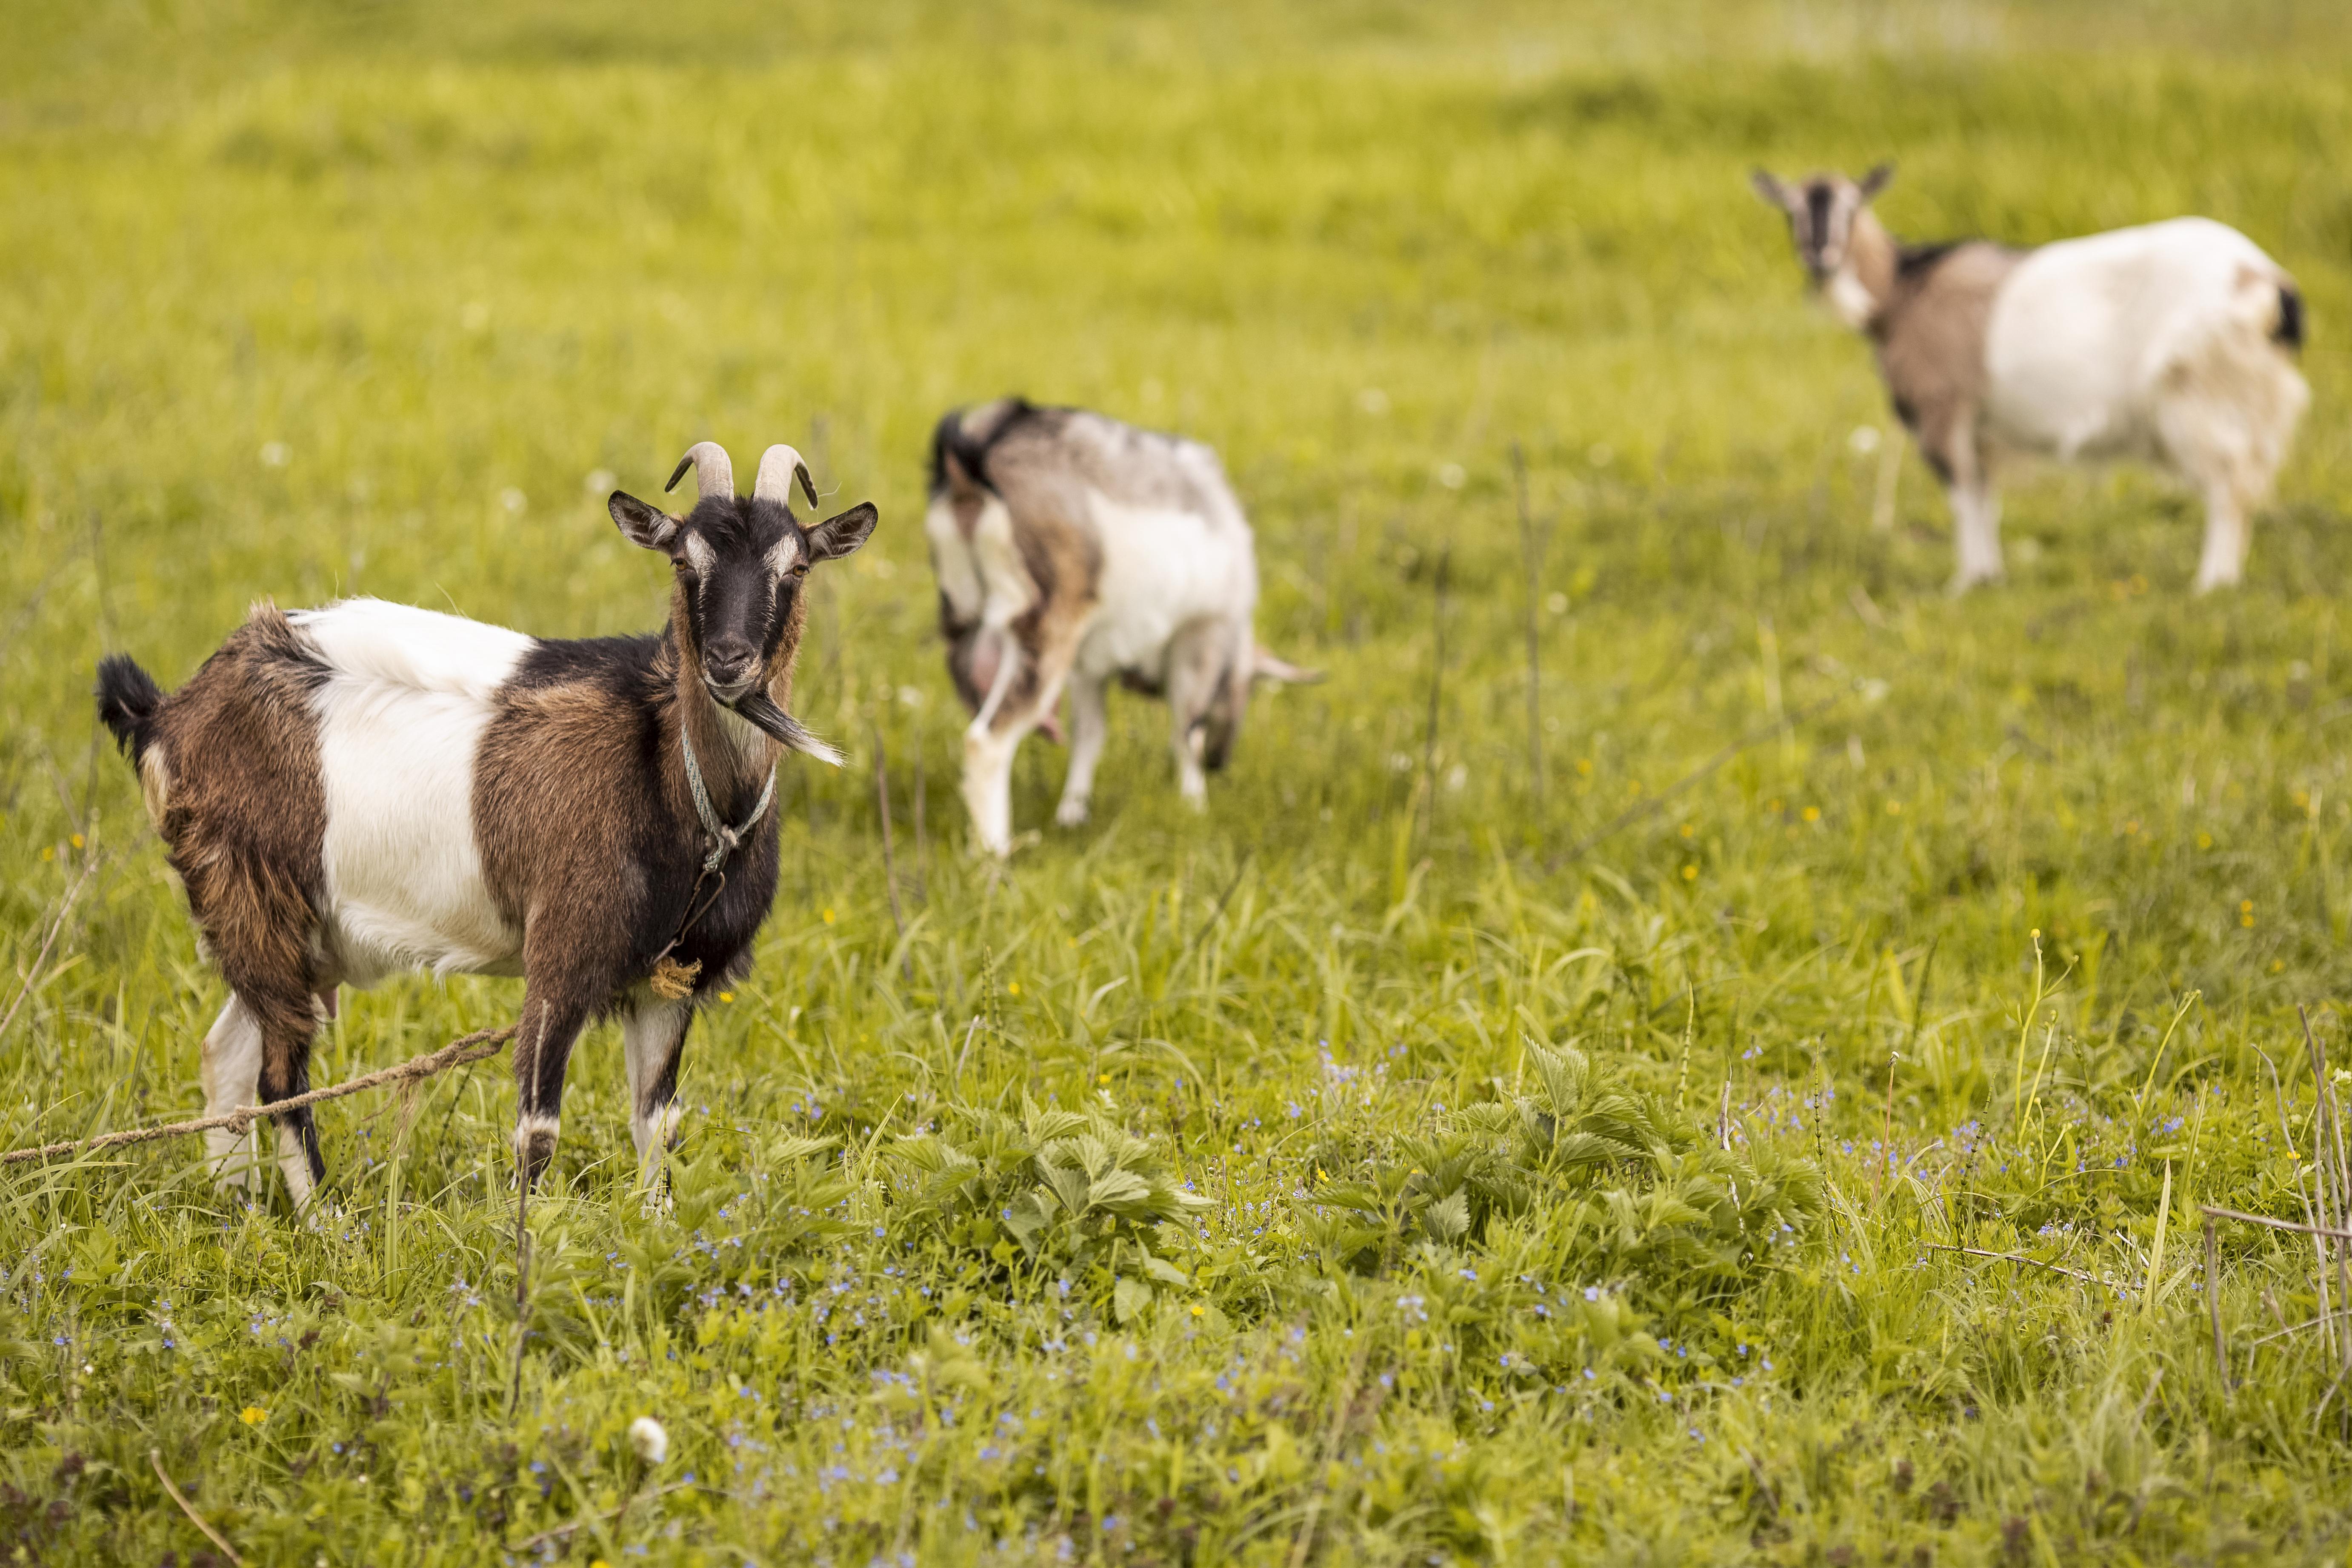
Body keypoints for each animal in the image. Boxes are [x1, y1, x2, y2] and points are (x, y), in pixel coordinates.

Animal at [95, 441, 876, 1206]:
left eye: (795, 568)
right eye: (685, 562)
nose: (727, 662)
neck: (674, 777)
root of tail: (168, 713)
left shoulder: (671, 980)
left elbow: (657, 1124)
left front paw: (655, 1232)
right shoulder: (561, 956)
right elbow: (538, 1130)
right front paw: (526, 1241)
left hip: (287, 928)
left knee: (227, 1052)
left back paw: (238, 1212)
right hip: (253, 893)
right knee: (281, 1077)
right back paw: (328, 1223)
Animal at [924, 398, 1316, 857]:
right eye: (1250, 686)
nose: (1220, 763)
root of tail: (976, 453)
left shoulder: (1089, 665)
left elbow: (1089, 734)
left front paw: (1073, 813)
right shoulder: (1200, 635)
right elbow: (1188, 725)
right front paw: (1194, 804)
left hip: (964, 617)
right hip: (1045, 624)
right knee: (986, 741)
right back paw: (995, 851)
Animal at [1753, 164, 2307, 592]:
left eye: (1851, 209)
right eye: (1790, 212)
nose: (1820, 257)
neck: (1902, 291)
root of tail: (2267, 284)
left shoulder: (1942, 410)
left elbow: (1963, 499)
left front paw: (1965, 582)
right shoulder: (1979, 430)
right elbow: (1984, 498)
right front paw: (1990, 577)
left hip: (2196, 394)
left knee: (2228, 485)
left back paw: (2212, 583)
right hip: (2245, 394)